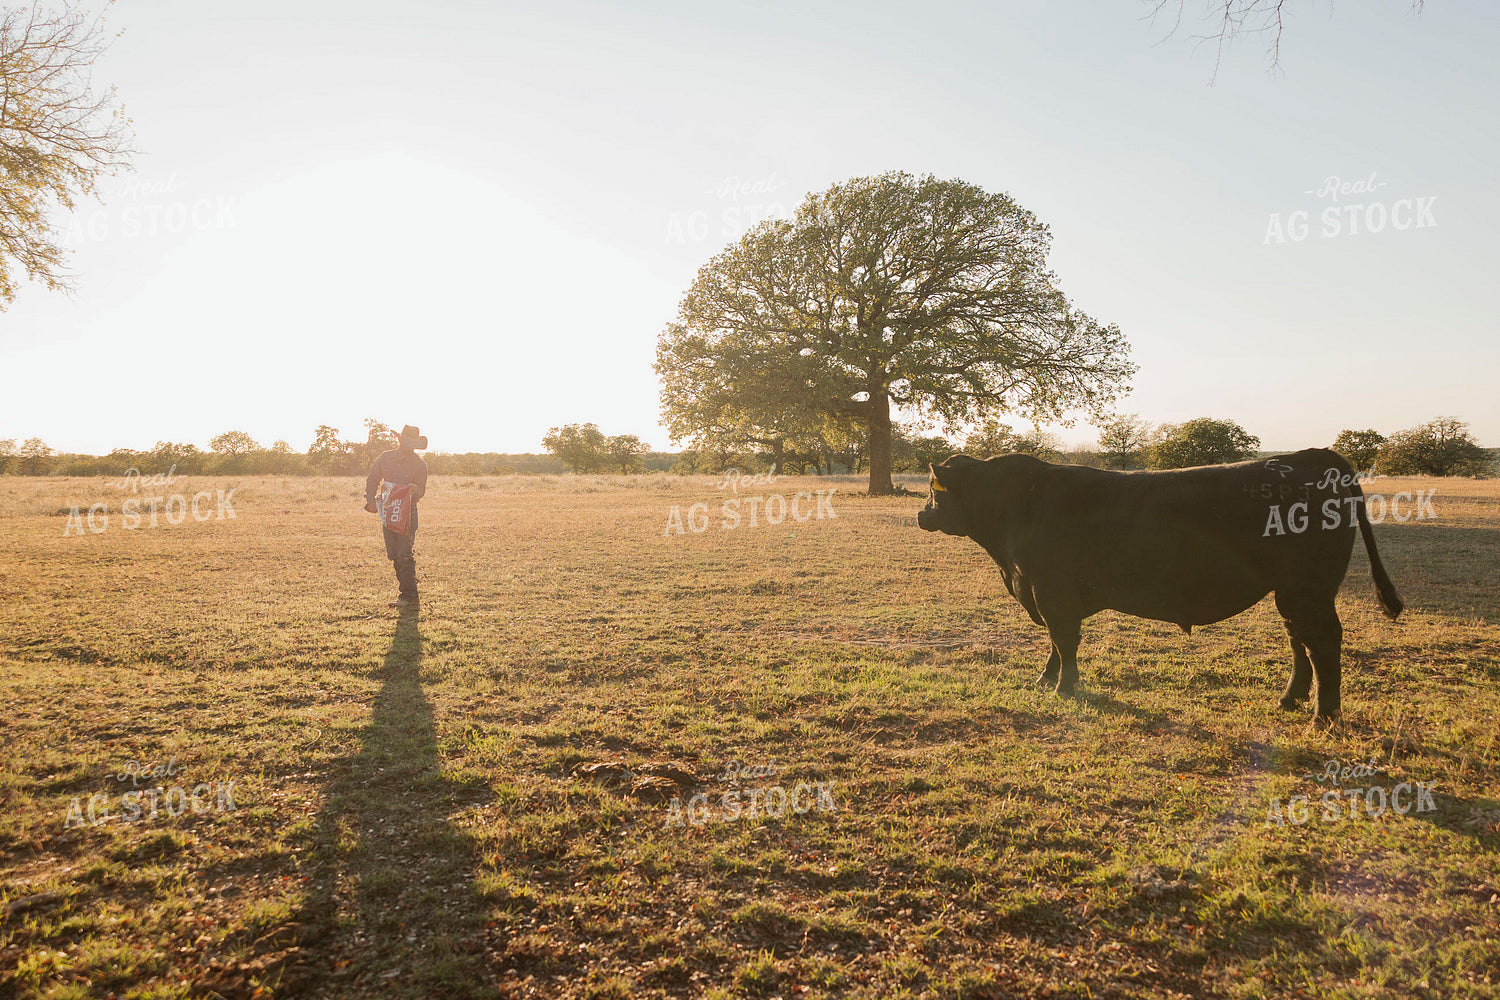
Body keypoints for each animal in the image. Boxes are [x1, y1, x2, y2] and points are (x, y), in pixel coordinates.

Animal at [916, 448, 1403, 719]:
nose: (921, 514)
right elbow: (1056, 643)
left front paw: (1063, 686)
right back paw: (1290, 699)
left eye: (935, 490)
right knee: (1297, 638)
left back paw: (1324, 714)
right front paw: (1045, 680)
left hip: (1308, 589)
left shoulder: (1052, 591)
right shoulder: (1044, 592)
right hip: (1291, 592)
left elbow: (1064, 640)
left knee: (1322, 641)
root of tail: (1315, 455)